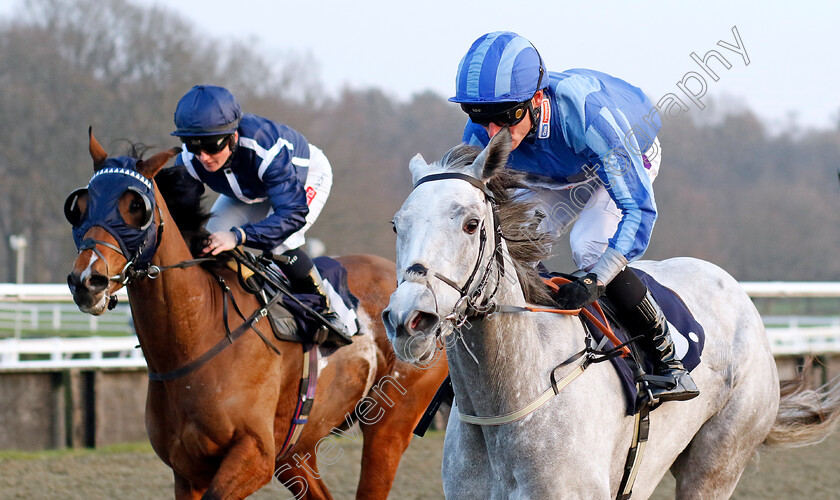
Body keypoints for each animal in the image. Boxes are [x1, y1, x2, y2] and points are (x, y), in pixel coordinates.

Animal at [65, 133, 450, 500]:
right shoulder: (187, 473)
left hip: (389, 425)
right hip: (296, 451)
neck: (193, 342)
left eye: (135, 206)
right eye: (80, 207)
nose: (87, 280)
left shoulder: (256, 455)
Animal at [382, 130, 840, 500]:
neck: (506, 404)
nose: (409, 320)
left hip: (719, 459)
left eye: (472, 224)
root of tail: (734, 288)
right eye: (396, 225)